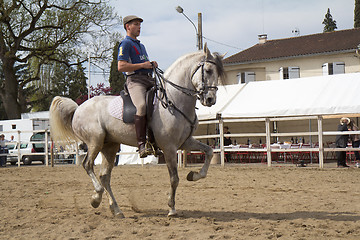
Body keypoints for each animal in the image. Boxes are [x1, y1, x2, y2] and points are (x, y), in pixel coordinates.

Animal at [49, 44, 225, 218]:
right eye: (208, 70)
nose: (210, 100)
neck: (174, 101)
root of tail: (78, 109)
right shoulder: (169, 147)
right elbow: (174, 178)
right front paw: (171, 208)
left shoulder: (185, 142)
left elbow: (209, 152)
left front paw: (193, 175)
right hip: (95, 142)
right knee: (88, 165)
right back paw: (96, 197)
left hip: (109, 146)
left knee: (104, 176)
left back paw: (115, 208)